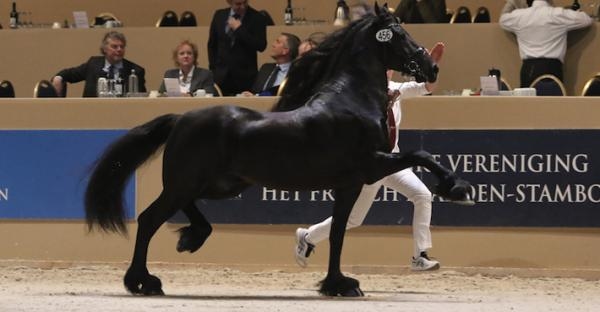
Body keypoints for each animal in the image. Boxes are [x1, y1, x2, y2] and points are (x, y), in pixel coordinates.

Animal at [84, 4, 472, 298]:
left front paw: (336, 284)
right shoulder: (370, 166)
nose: (431, 67)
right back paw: (143, 282)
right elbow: (422, 157)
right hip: (187, 183)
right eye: (400, 34)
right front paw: (458, 189)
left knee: (181, 212)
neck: (352, 100)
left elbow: (338, 232)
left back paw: (190, 240)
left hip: (219, 185)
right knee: (149, 219)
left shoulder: (350, 183)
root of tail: (181, 118)